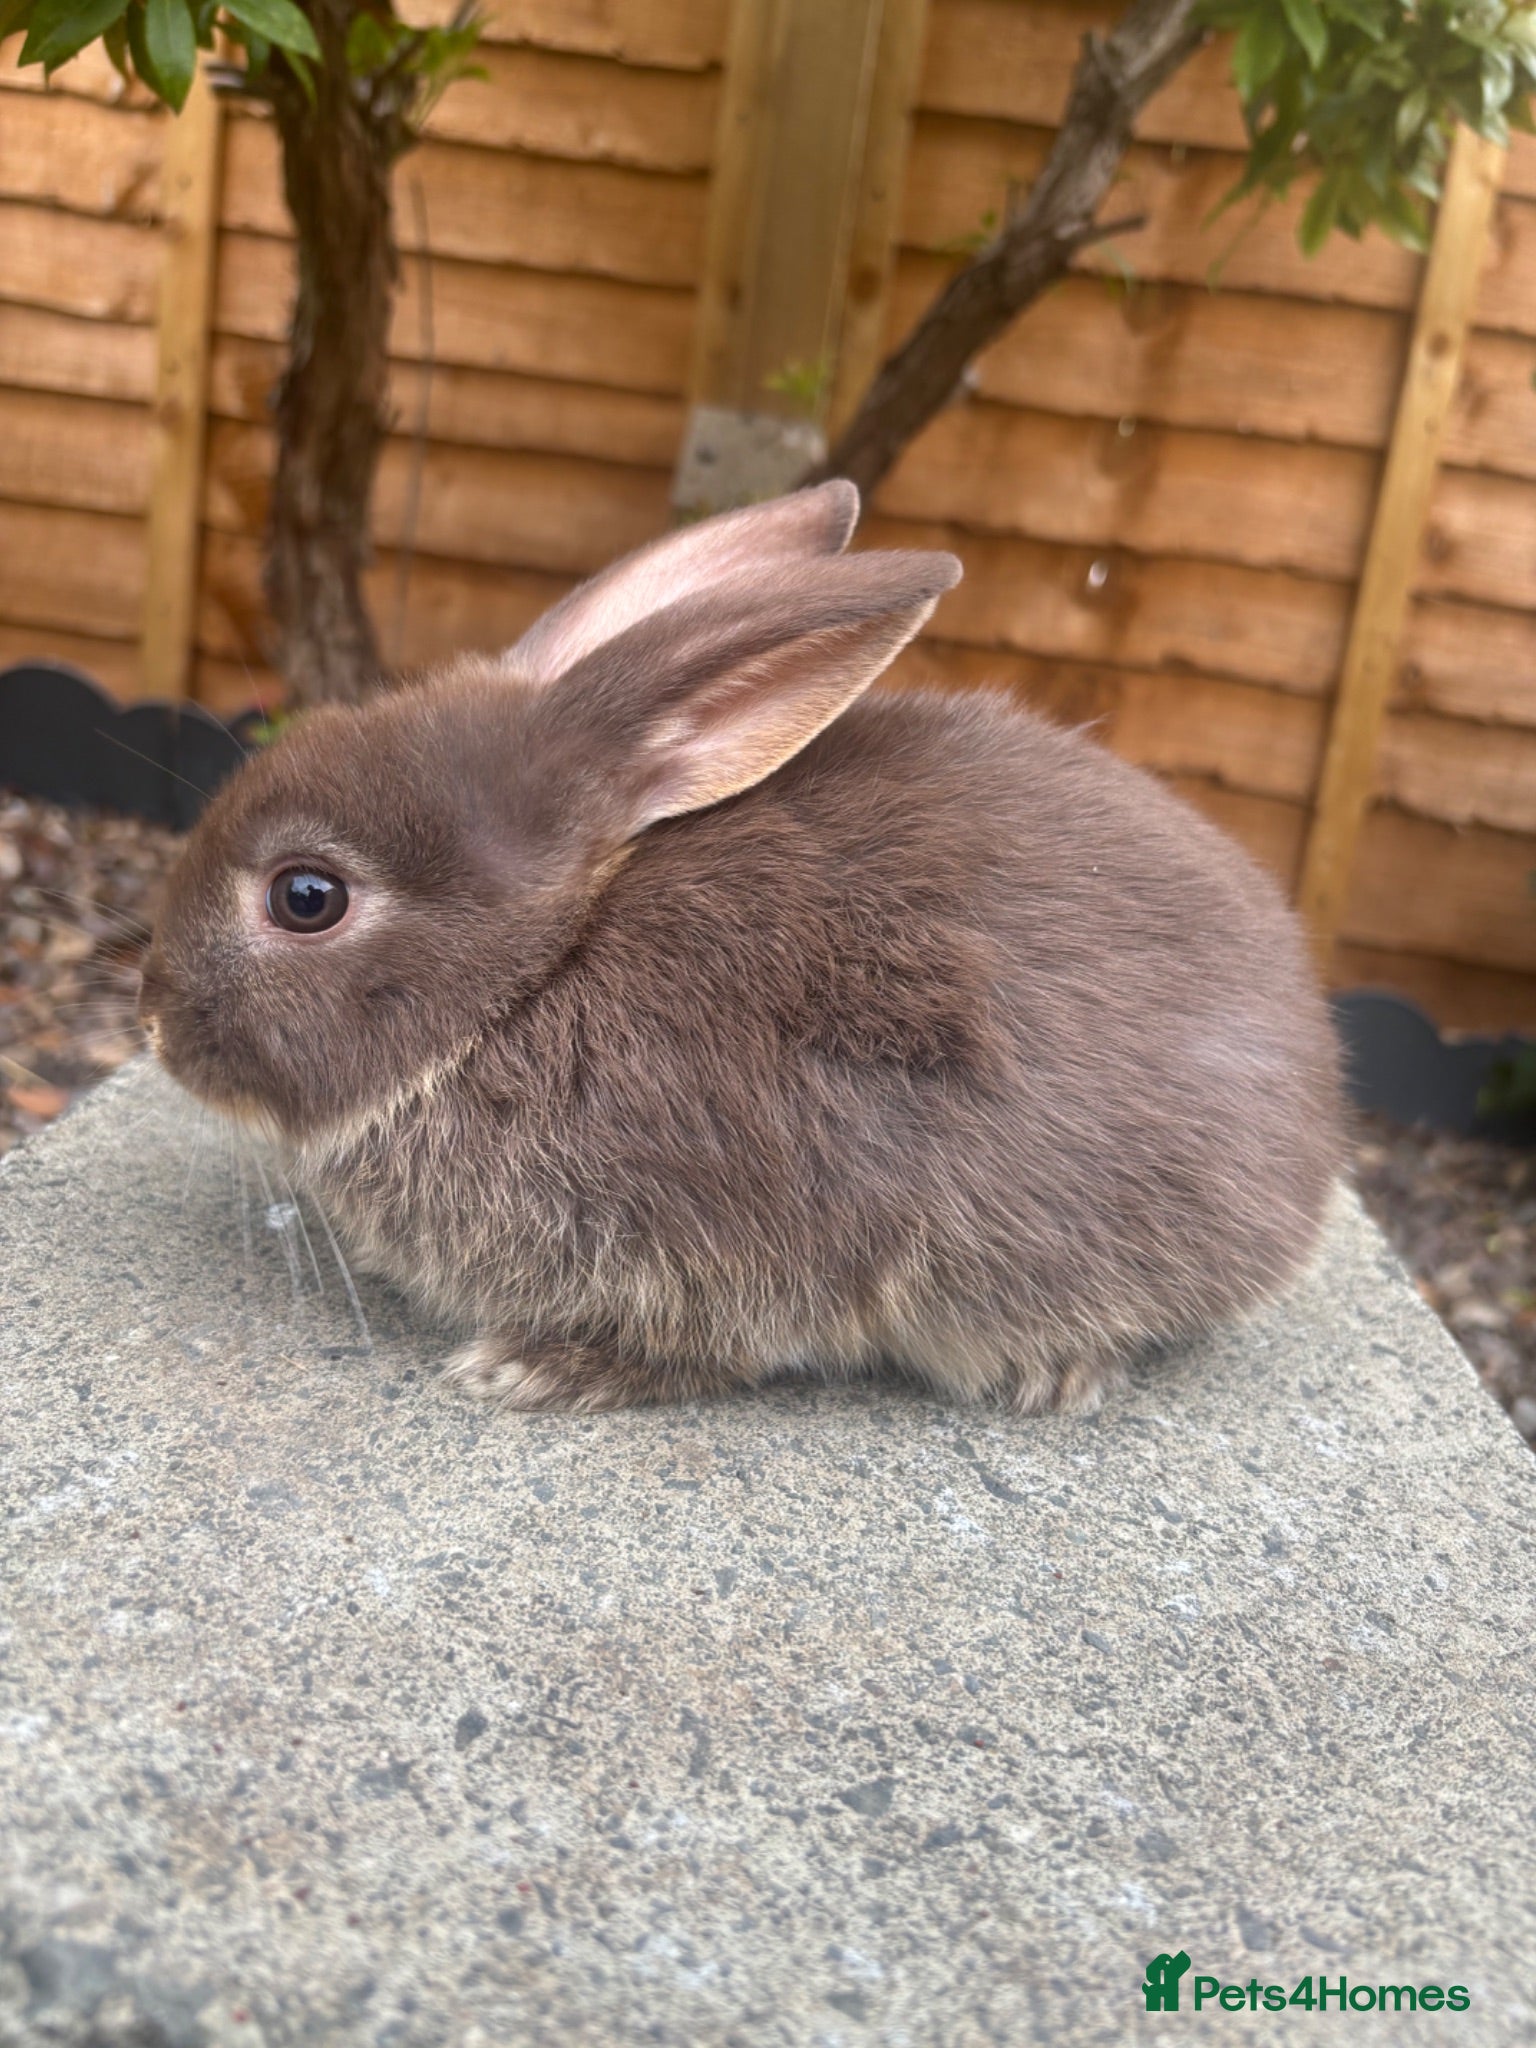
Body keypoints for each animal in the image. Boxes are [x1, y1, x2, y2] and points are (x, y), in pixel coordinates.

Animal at [138, 480, 1343, 1416]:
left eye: (307, 898)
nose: (150, 1021)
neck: (539, 974)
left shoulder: (739, 1237)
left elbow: (713, 1344)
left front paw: (535, 1369)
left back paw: (1055, 1372)